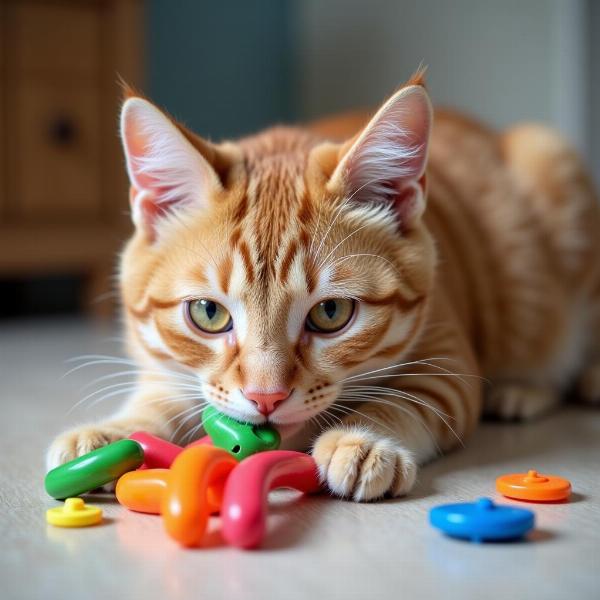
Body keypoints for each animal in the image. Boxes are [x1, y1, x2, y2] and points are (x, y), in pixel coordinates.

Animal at [45, 72, 600, 500]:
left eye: (331, 314)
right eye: (208, 313)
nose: (265, 397)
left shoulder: (448, 362)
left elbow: (405, 400)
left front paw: (363, 441)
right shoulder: (162, 365)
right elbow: (159, 399)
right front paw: (111, 434)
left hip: (551, 163)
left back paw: (525, 388)